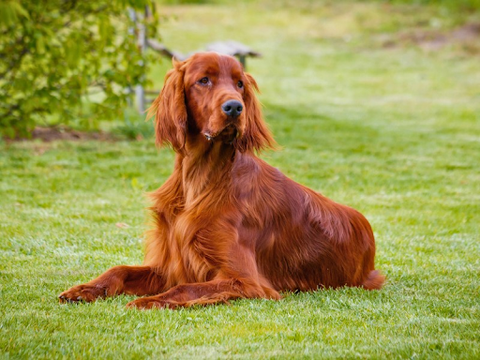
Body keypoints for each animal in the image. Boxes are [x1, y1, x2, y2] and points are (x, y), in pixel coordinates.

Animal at [59, 52, 382, 308]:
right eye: (204, 80)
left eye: (240, 83)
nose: (235, 107)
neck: (201, 178)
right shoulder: (171, 264)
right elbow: (121, 269)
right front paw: (85, 288)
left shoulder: (247, 281)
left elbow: (185, 288)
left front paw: (149, 301)